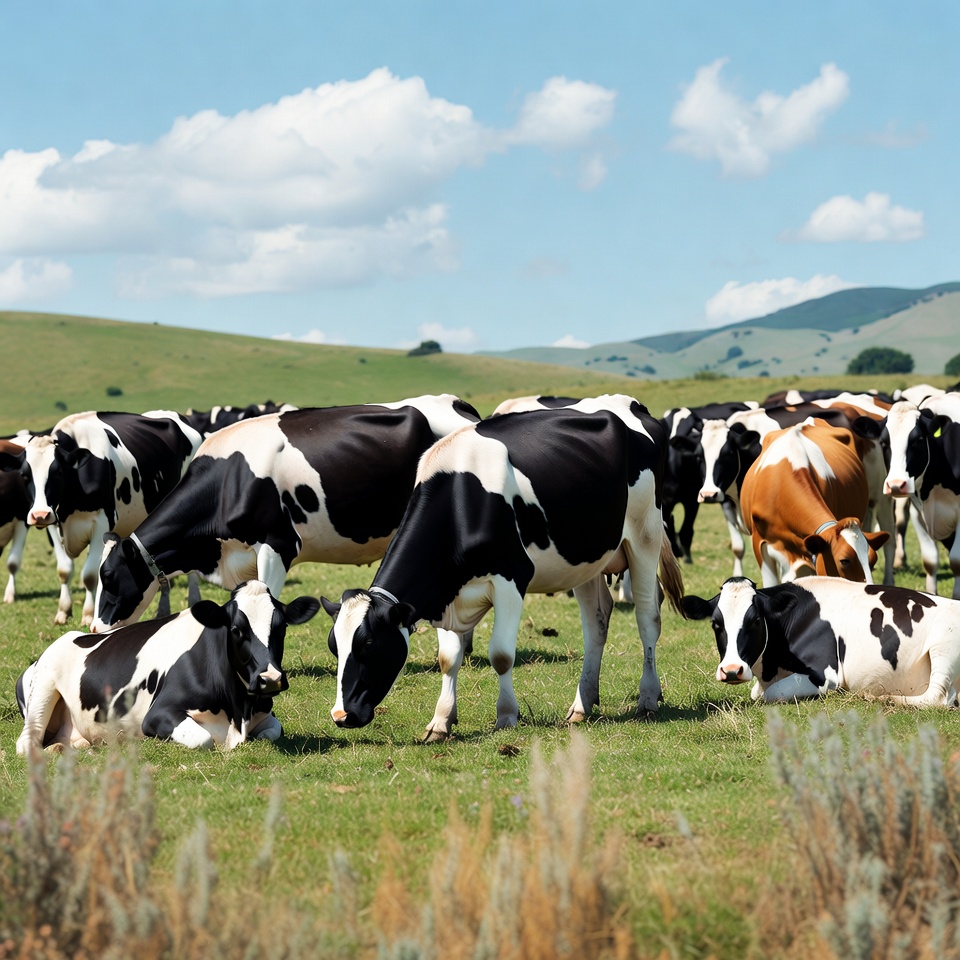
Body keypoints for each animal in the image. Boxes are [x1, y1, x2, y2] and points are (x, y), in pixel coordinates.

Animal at [15, 580, 320, 754]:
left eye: (281, 628)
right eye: (236, 630)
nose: (271, 678)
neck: (239, 711)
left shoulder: (265, 715)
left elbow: (273, 732)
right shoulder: (158, 714)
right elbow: (203, 739)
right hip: (43, 690)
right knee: (26, 743)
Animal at [18, 411, 204, 625]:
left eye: (57, 471)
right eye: (24, 475)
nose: (39, 515)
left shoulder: (101, 522)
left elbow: (90, 575)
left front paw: (88, 615)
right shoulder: (54, 525)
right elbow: (64, 571)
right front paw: (63, 612)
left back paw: (193, 600)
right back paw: (163, 611)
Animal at [320, 394, 685, 740]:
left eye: (368, 645)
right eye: (334, 646)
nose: (341, 715)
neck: (461, 499)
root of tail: (629, 403)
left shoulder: (511, 579)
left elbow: (501, 655)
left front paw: (507, 715)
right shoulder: (445, 590)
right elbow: (448, 658)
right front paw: (441, 721)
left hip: (645, 535)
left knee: (647, 618)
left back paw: (648, 698)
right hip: (586, 558)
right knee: (596, 623)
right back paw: (582, 705)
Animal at [682, 576, 960, 706]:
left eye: (755, 621)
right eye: (716, 624)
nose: (731, 670)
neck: (769, 669)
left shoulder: (825, 675)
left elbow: (771, 694)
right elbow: (756, 694)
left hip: (943, 647)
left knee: (935, 698)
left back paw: (880, 697)